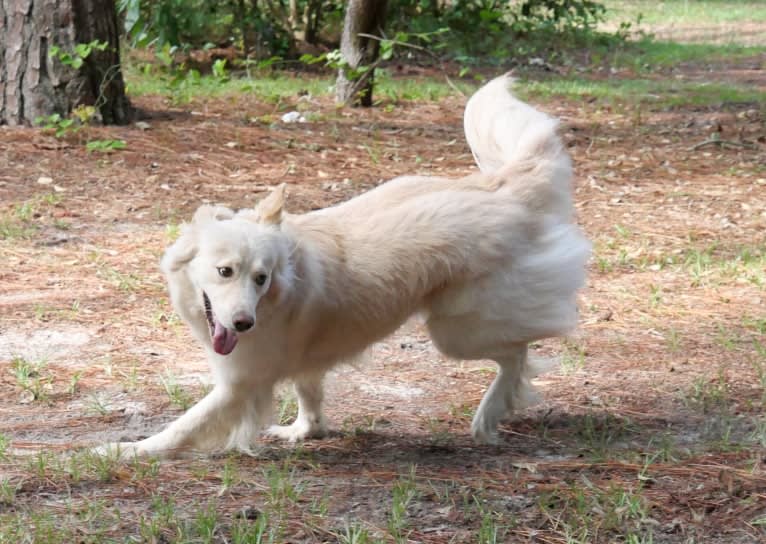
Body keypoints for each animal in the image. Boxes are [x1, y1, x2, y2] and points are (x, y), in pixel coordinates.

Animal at [105, 75, 592, 460]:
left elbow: (182, 426)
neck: (278, 294)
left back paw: (490, 414)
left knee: (518, 352)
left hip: (457, 332)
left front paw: (126, 450)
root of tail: (499, 187)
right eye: (226, 272)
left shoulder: (239, 383)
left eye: (261, 279)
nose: (244, 324)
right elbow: (309, 393)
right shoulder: (302, 361)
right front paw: (306, 431)